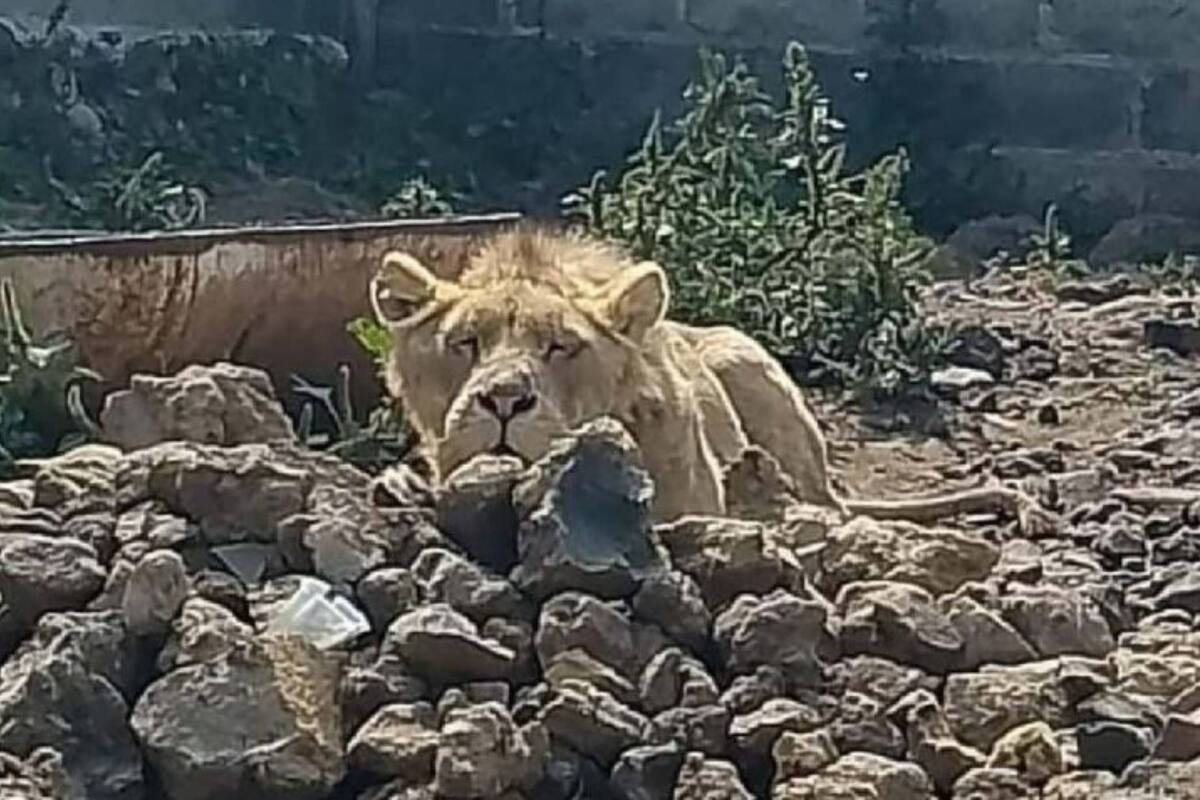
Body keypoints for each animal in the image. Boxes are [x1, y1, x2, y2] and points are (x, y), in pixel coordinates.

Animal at [369, 227, 1040, 527]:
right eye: (464, 343)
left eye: (562, 346)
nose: (505, 400)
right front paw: (403, 485)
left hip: (743, 359)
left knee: (828, 506)